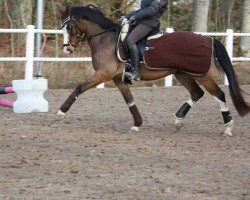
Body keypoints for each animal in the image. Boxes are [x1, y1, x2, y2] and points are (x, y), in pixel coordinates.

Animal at [57, 4, 249, 136]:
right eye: (62, 27)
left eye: (69, 27)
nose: (67, 49)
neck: (105, 39)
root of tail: (209, 39)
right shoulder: (118, 79)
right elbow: (130, 101)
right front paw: (137, 124)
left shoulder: (103, 74)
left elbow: (79, 88)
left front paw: (61, 112)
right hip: (182, 74)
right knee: (197, 93)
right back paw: (178, 120)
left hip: (201, 75)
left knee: (219, 95)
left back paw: (228, 127)